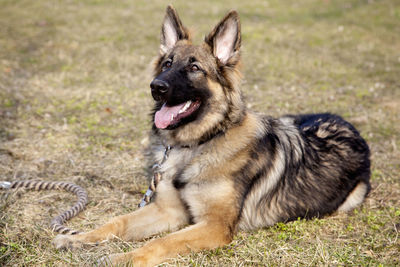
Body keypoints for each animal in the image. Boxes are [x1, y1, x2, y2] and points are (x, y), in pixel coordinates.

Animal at [52, 5, 368, 266]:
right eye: (167, 64)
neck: (198, 143)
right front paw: (78, 238)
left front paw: (122, 258)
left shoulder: (213, 226)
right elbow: (117, 223)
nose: (156, 87)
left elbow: (160, 242)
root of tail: (347, 125)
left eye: (194, 68)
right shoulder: (168, 211)